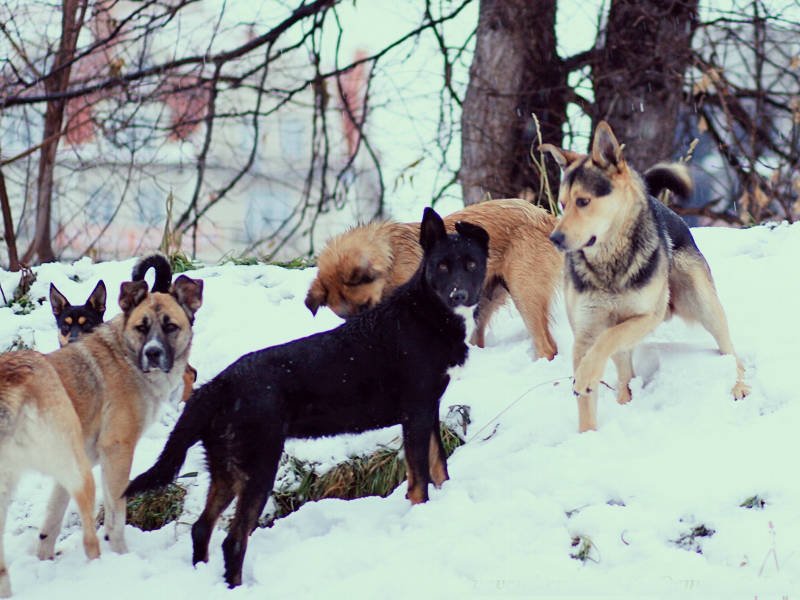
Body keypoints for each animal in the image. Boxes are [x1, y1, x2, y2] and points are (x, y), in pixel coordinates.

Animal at [125, 206, 488, 584]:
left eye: (471, 263)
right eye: (441, 266)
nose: (459, 295)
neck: (426, 314)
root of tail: (217, 386)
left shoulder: (429, 408)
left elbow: (439, 465)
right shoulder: (415, 411)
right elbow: (419, 482)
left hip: (226, 469)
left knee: (201, 529)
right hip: (258, 467)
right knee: (233, 540)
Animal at [306, 199, 564, 358]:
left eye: (366, 306)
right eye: (345, 317)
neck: (392, 258)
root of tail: (546, 218)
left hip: (525, 295)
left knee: (548, 346)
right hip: (484, 300)